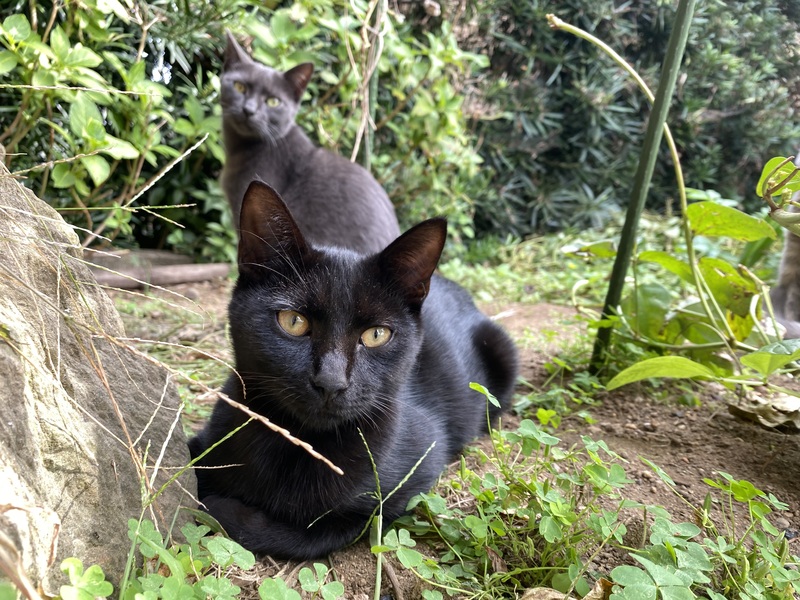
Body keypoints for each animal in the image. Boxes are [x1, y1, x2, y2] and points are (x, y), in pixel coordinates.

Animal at [188, 180, 519, 560]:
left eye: (376, 335)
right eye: (293, 321)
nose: (330, 382)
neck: (299, 444)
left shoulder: (413, 474)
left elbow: (312, 531)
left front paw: (222, 508)